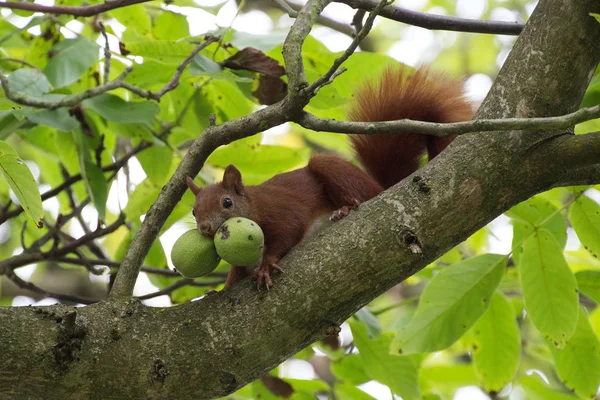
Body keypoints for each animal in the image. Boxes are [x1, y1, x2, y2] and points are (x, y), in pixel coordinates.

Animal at [188, 67, 474, 290]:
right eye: (193, 211)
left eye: (227, 202)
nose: (205, 228)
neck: (253, 205)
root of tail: (382, 186)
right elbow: (236, 273)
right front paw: (222, 288)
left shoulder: (279, 211)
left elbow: (289, 231)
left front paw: (267, 265)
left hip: (333, 170)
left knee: (359, 196)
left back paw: (345, 209)